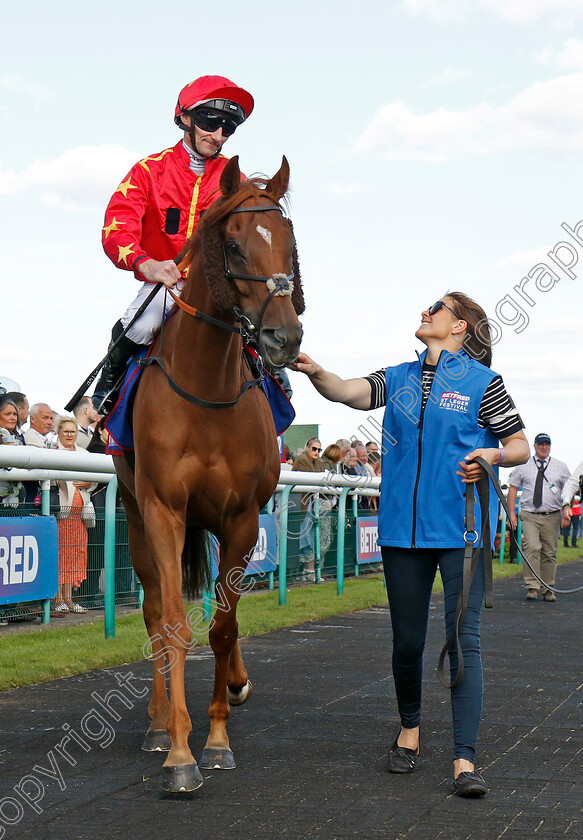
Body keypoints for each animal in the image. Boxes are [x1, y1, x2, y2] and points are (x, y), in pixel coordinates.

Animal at [114, 158, 306, 796]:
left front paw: (217, 739)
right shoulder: (163, 510)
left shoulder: (242, 517)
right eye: (235, 244)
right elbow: (174, 624)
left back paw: (237, 684)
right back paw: (155, 724)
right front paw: (179, 751)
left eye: (290, 244)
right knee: (153, 610)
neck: (206, 391)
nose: (285, 338)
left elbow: (223, 626)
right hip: (133, 515)